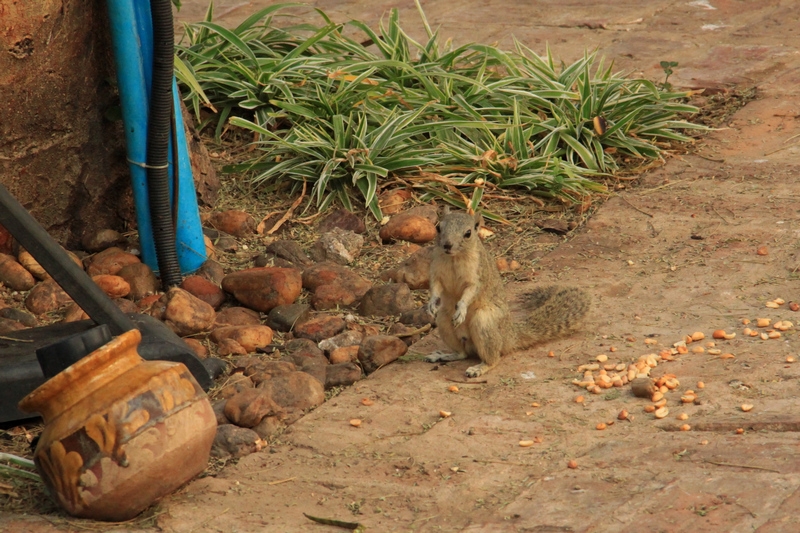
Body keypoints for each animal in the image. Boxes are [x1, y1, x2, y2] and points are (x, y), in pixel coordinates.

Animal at [428, 210, 592, 376]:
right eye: (438, 228)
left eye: (468, 233)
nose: (447, 245)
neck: (454, 258)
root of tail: (510, 336)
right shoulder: (436, 271)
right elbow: (435, 286)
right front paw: (431, 304)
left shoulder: (478, 275)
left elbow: (470, 291)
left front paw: (461, 309)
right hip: (444, 321)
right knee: (462, 353)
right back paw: (444, 355)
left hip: (484, 322)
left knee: (494, 358)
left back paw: (480, 368)